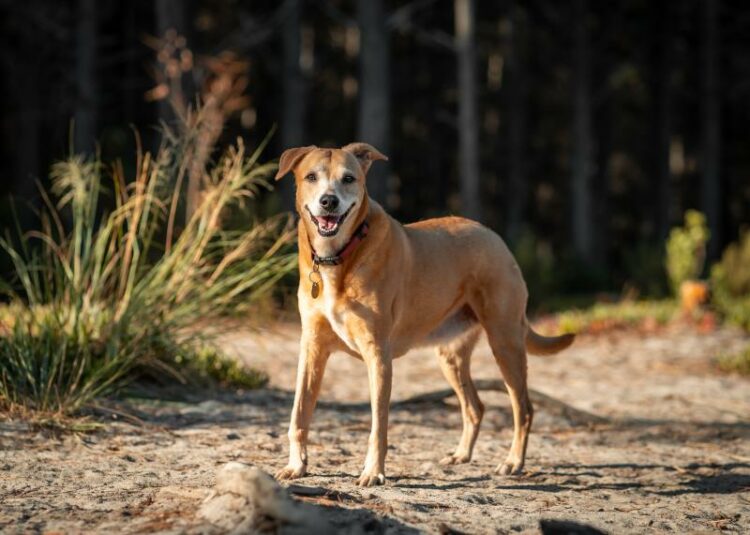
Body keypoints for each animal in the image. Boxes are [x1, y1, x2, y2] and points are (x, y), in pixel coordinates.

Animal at [273, 143, 575, 487]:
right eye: (311, 177)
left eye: (348, 178)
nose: (328, 201)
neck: (337, 257)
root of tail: (492, 235)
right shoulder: (312, 349)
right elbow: (299, 413)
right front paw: (296, 466)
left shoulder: (378, 355)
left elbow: (378, 426)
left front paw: (373, 472)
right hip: (451, 357)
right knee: (475, 407)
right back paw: (461, 455)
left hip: (505, 343)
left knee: (523, 409)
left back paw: (513, 463)